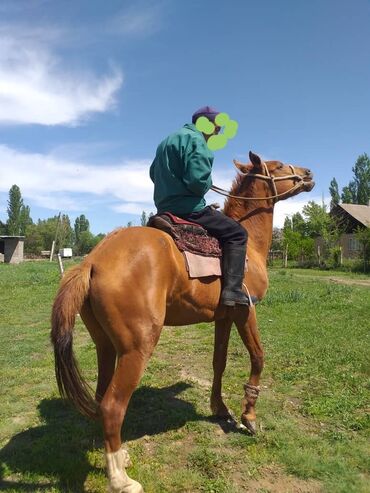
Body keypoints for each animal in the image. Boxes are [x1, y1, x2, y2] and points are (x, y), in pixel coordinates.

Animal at [50, 151, 314, 492]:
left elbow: (219, 362)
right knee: (112, 405)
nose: (308, 174)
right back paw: (122, 480)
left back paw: (119, 457)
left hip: (106, 346)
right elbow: (258, 357)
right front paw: (249, 417)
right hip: (137, 348)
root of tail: (92, 262)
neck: (249, 248)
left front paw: (221, 409)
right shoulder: (246, 311)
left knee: (101, 398)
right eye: (279, 166)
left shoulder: (224, 316)